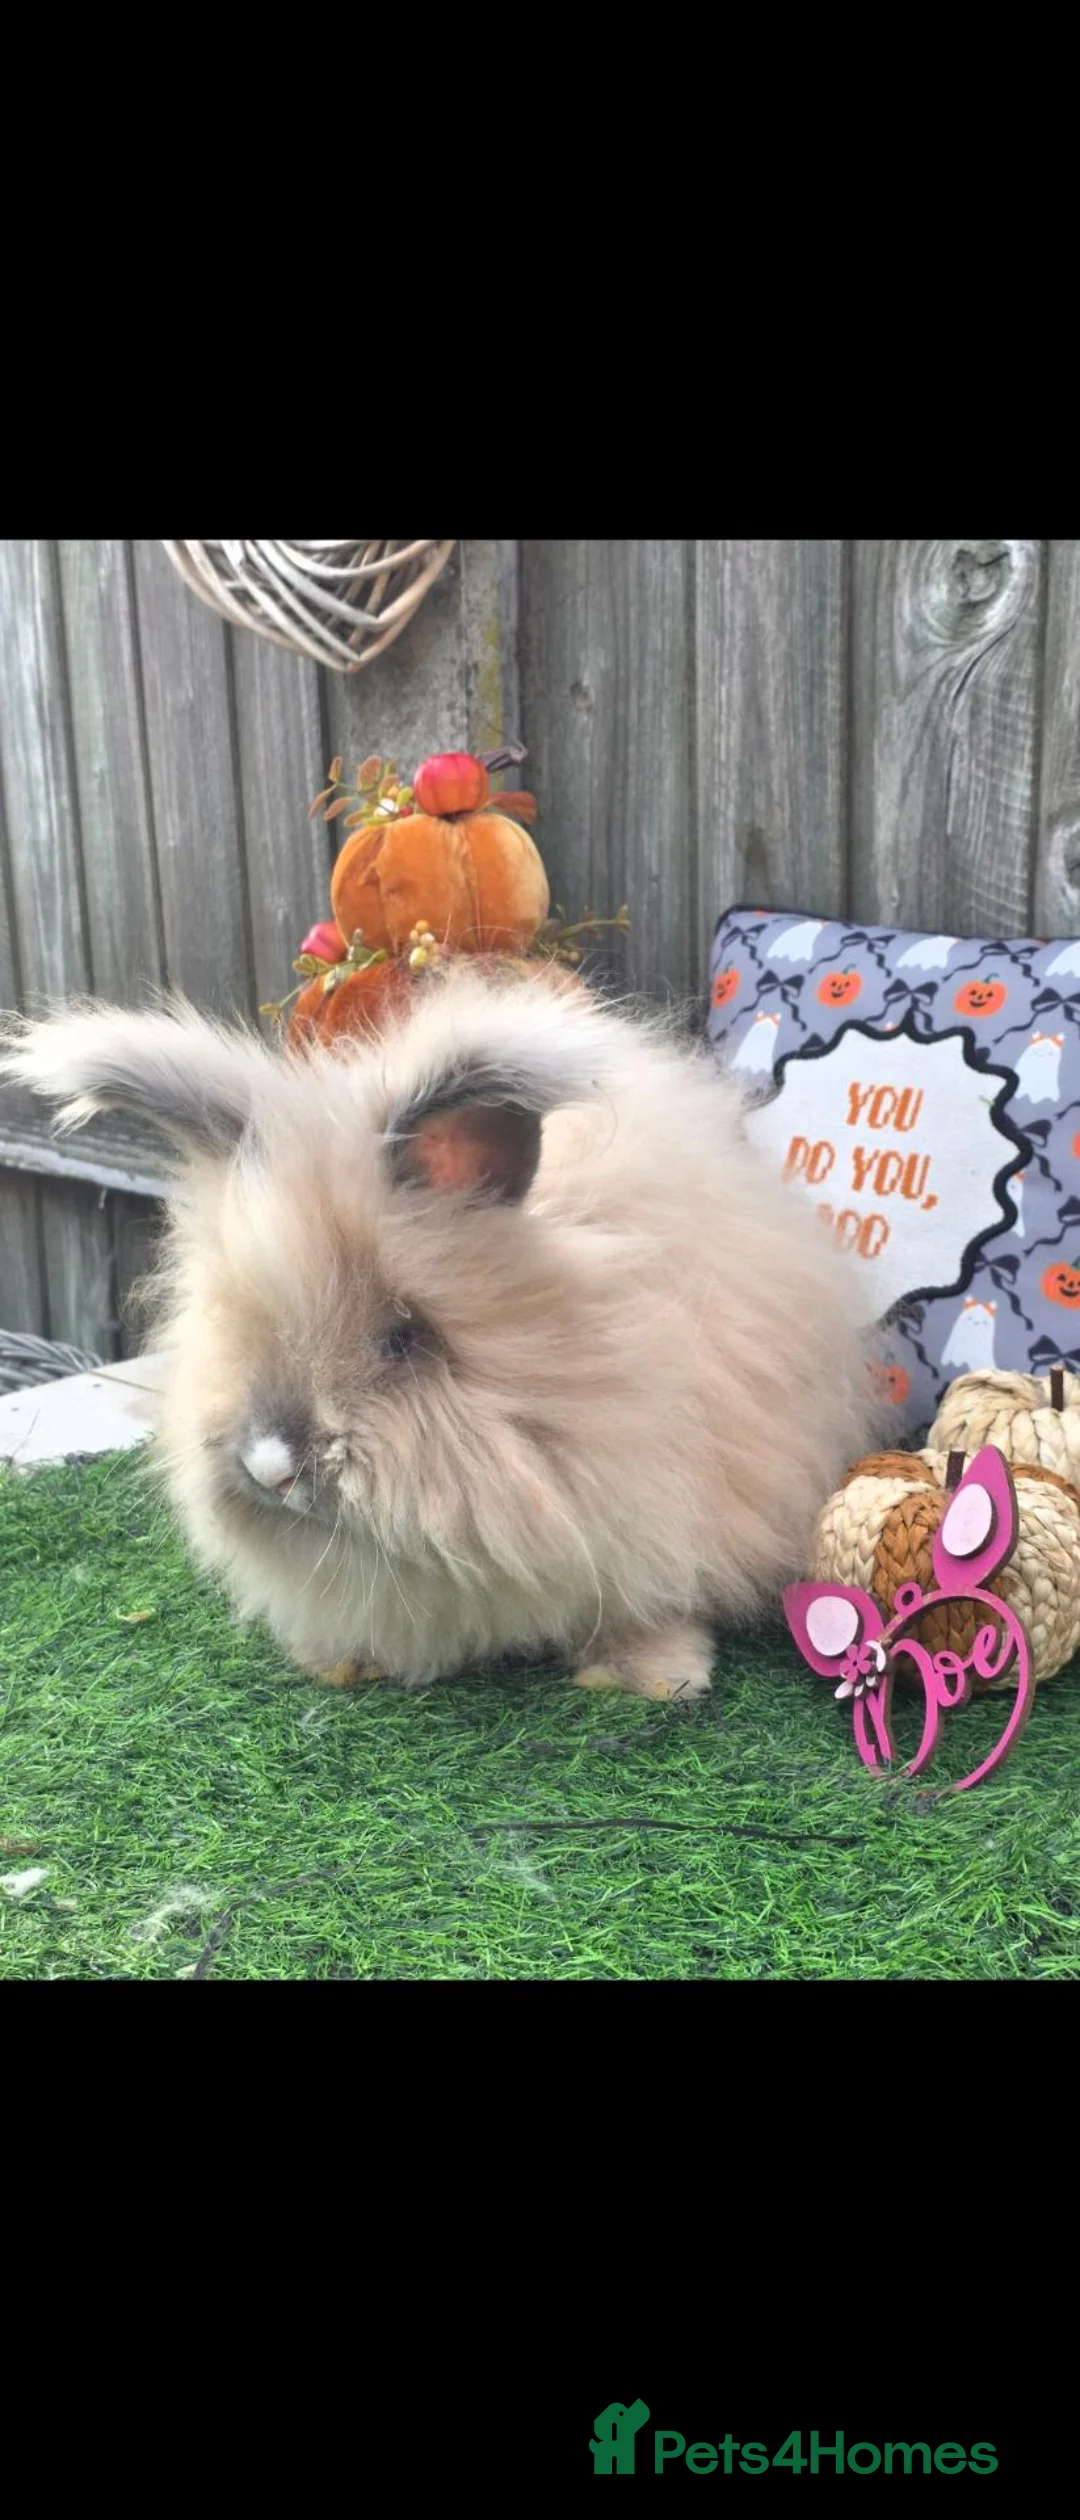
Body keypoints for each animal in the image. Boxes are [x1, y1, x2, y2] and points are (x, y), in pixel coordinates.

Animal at [0, 966, 876, 1701]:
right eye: (239, 1325)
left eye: (403, 1339)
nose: (271, 1467)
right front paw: (341, 1664)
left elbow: (648, 1601)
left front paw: (654, 1680)